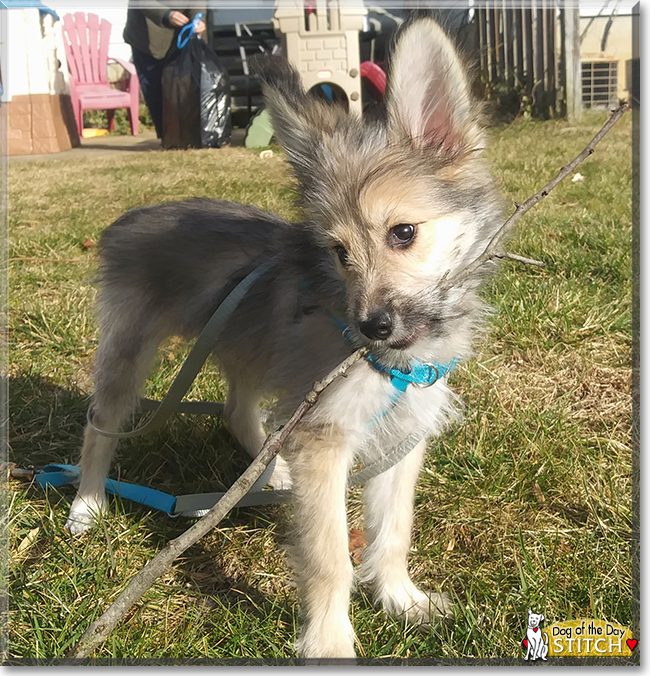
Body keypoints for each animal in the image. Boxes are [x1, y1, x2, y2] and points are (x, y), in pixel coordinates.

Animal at [67, 17, 502, 660]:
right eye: (339, 252)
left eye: (403, 233)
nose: (372, 326)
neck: (391, 359)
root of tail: (130, 219)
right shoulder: (324, 435)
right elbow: (328, 557)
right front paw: (330, 642)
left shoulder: (401, 433)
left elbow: (394, 529)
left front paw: (401, 599)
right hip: (129, 352)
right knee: (102, 424)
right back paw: (87, 506)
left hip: (250, 347)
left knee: (237, 410)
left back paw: (269, 474)